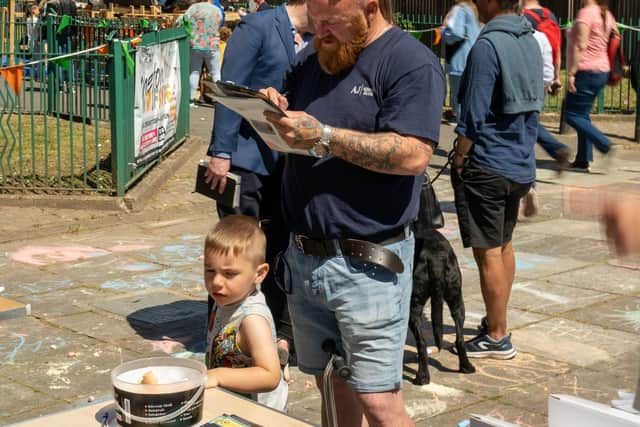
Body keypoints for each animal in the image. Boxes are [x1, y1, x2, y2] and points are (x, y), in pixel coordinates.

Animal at [408, 186, 472, 386]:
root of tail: (435, 258)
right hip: (456, 297)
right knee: (460, 337)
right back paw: (466, 366)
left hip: (413, 305)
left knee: (421, 343)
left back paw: (422, 376)